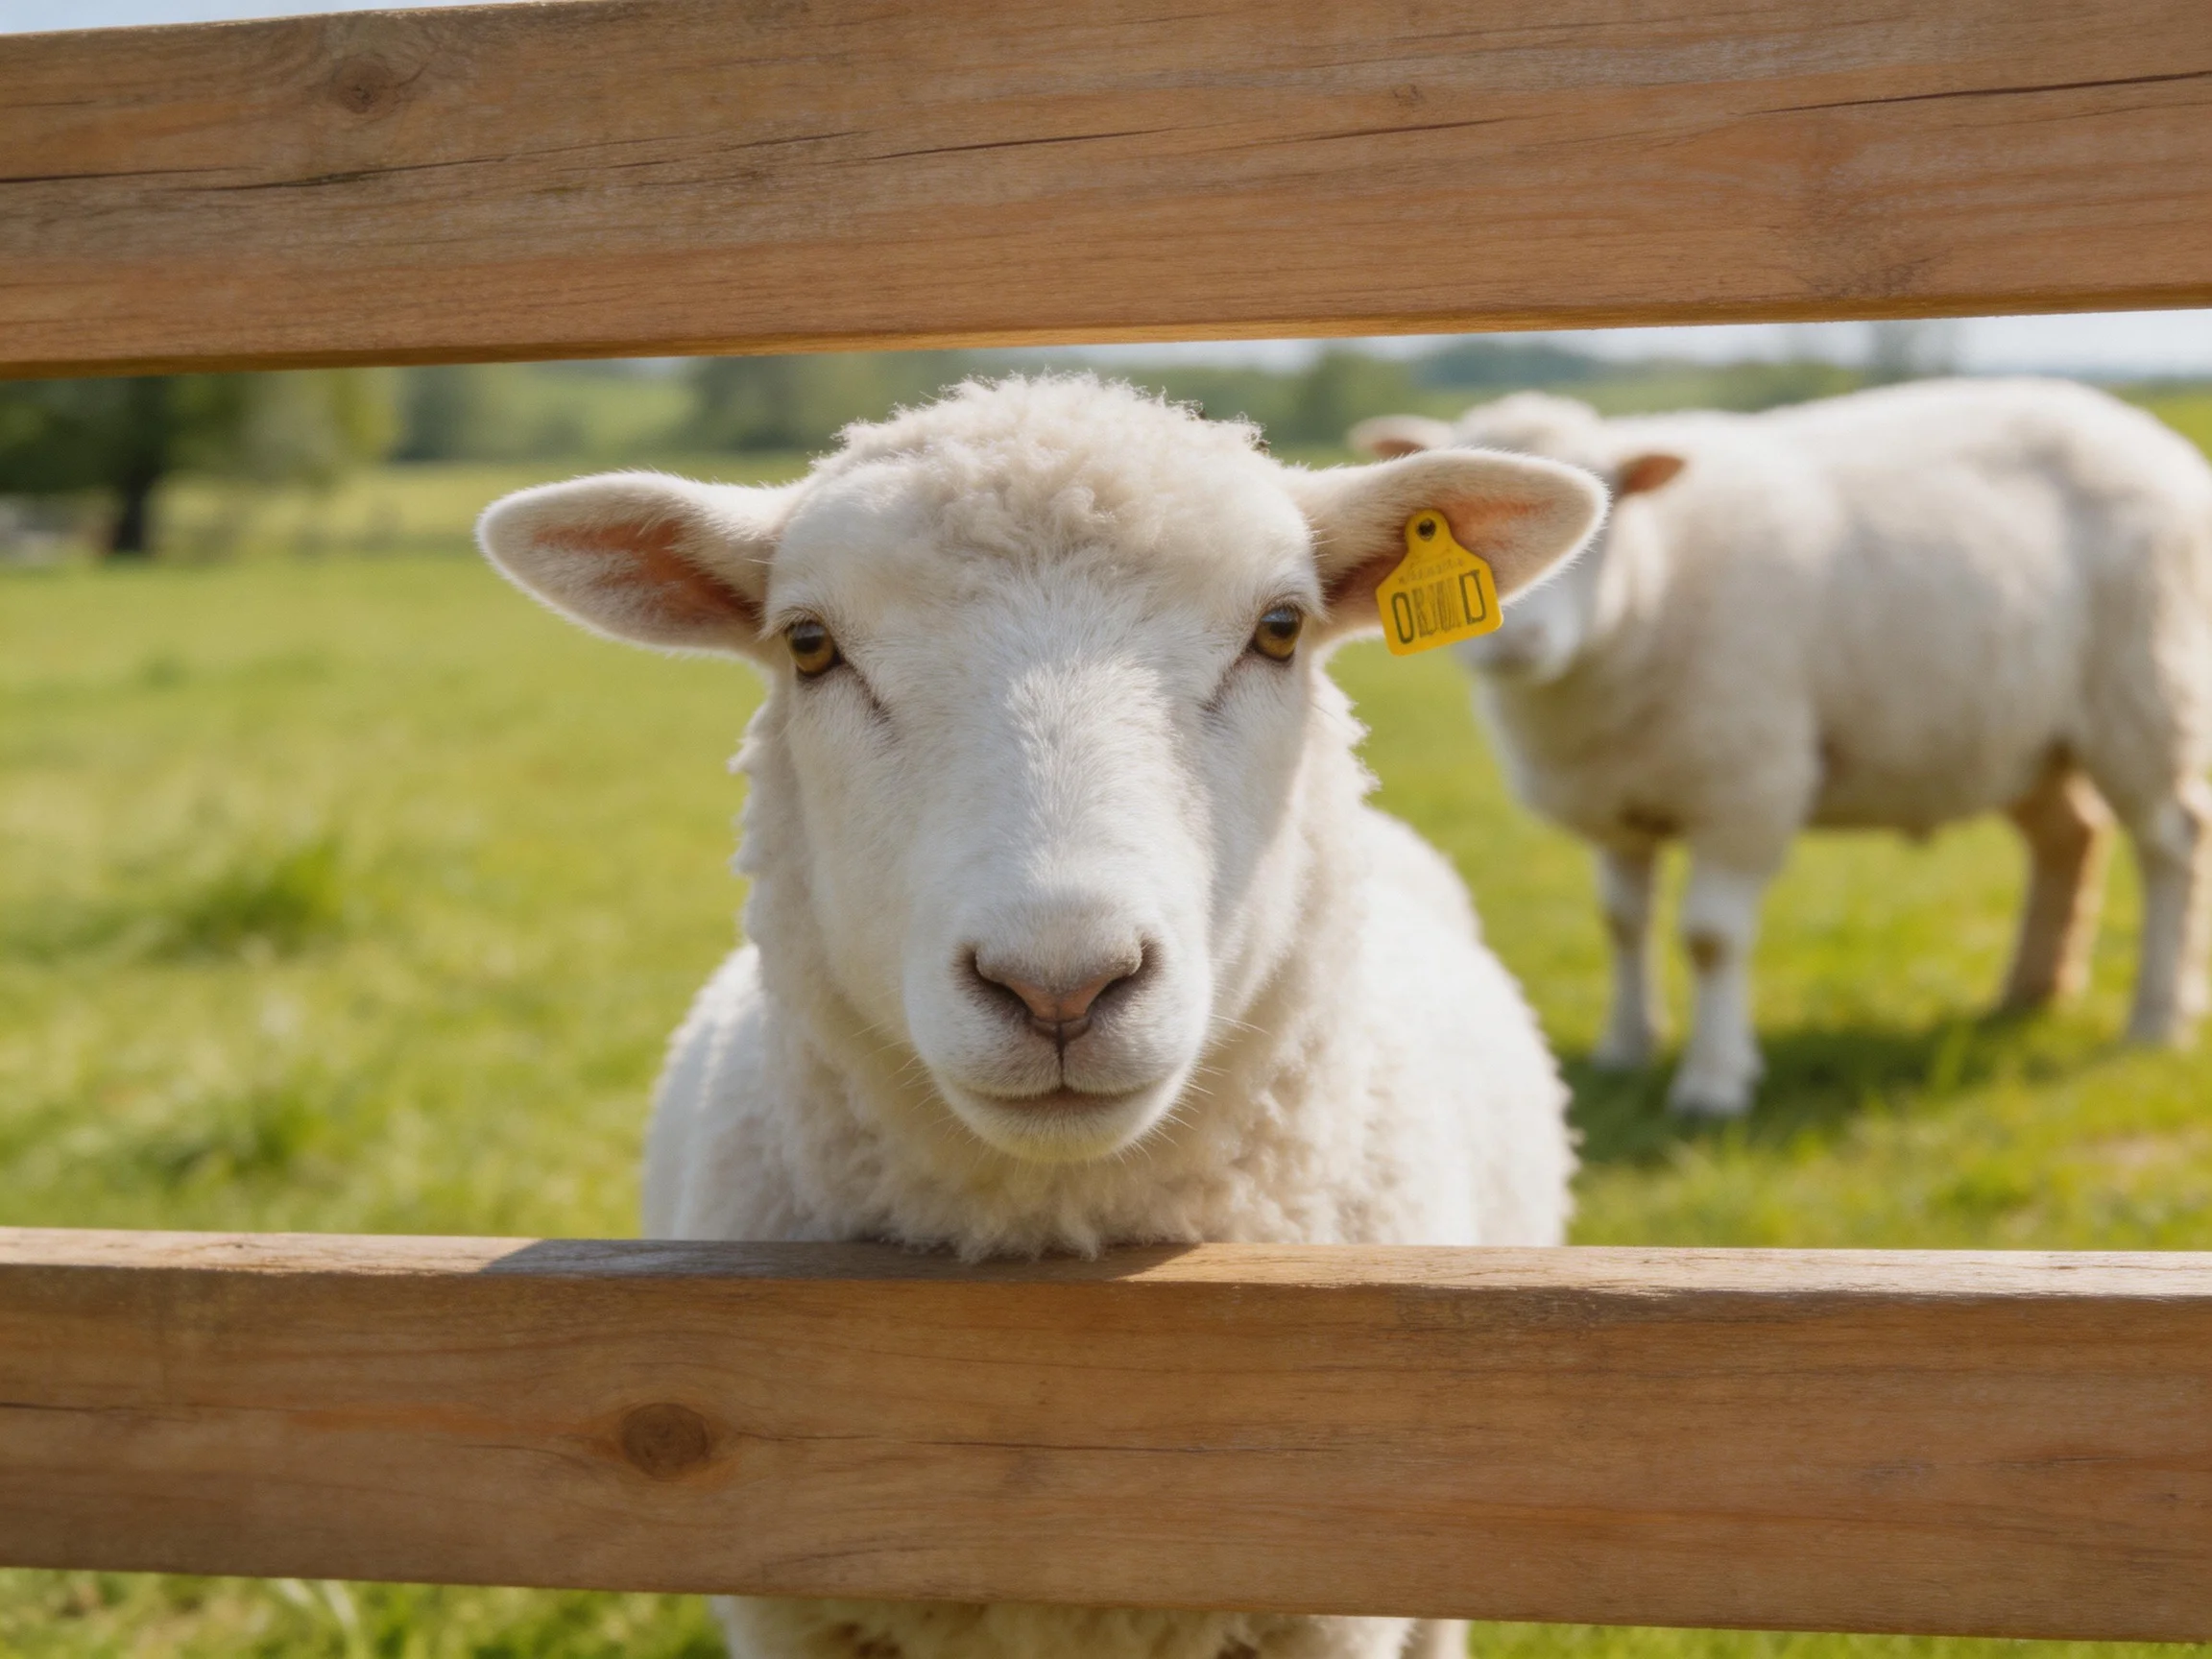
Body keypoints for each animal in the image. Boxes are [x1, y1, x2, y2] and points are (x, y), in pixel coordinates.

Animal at [1352, 377, 2212, 1117]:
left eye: (1616, 505)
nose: (1514, 641)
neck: (1654, 588)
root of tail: (2140, 430)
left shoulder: (1747, 786)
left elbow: (1709, 939)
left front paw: (1714, 1083)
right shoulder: (1618, 800)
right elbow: (1622, 922)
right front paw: (1626, 1048)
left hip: (2145, 692)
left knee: (2171, 843)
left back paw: (2156, 1017)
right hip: (2021, 731)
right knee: (2071, 836)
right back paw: (2030, 992)